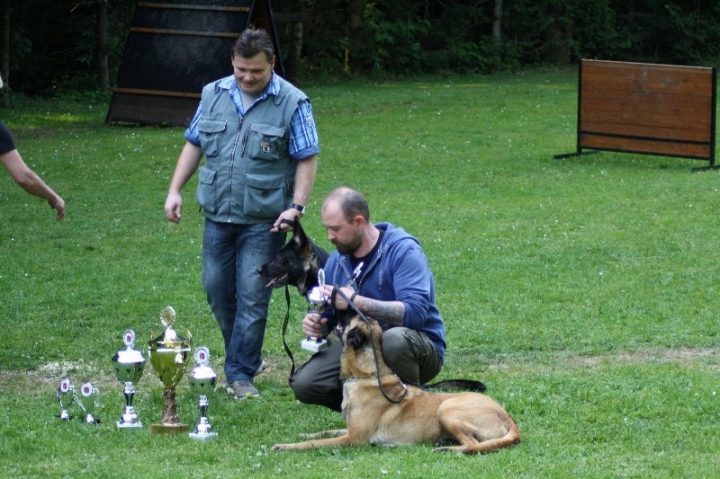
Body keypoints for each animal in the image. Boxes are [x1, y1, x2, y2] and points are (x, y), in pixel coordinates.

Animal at [272, 316, 520, 456]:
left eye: (351, 319)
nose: (335, 313)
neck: (368, 374)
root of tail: (509, 419)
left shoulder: (353, 439)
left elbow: (315, 443)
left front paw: (285, 446)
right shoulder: (350, 429)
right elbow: (324, 431)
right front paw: (304, 432)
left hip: (447, 409)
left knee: (472, 445)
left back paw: (447, 450)